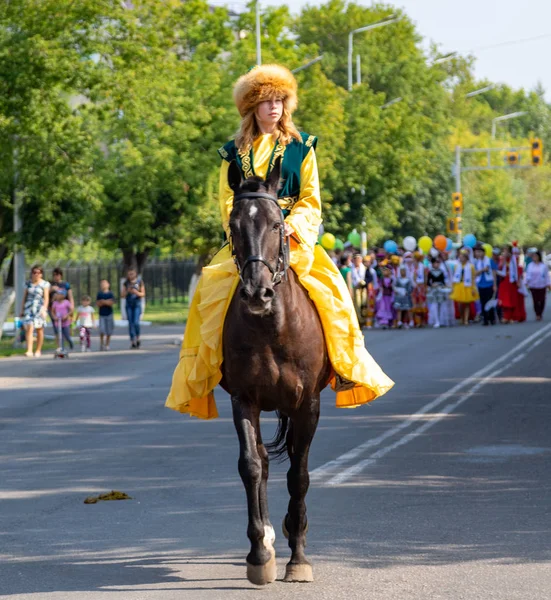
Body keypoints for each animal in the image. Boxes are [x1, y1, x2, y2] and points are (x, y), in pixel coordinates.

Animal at [221, 159, 332, 584]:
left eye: (275, 224)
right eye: (234, 225)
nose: (257, 292)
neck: (271, 327)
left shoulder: (307, 405)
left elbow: (298, 475)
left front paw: (298, 558)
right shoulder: (244, 400)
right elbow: (251, 466)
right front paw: (258, 555)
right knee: (265, 464)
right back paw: (269, 536)